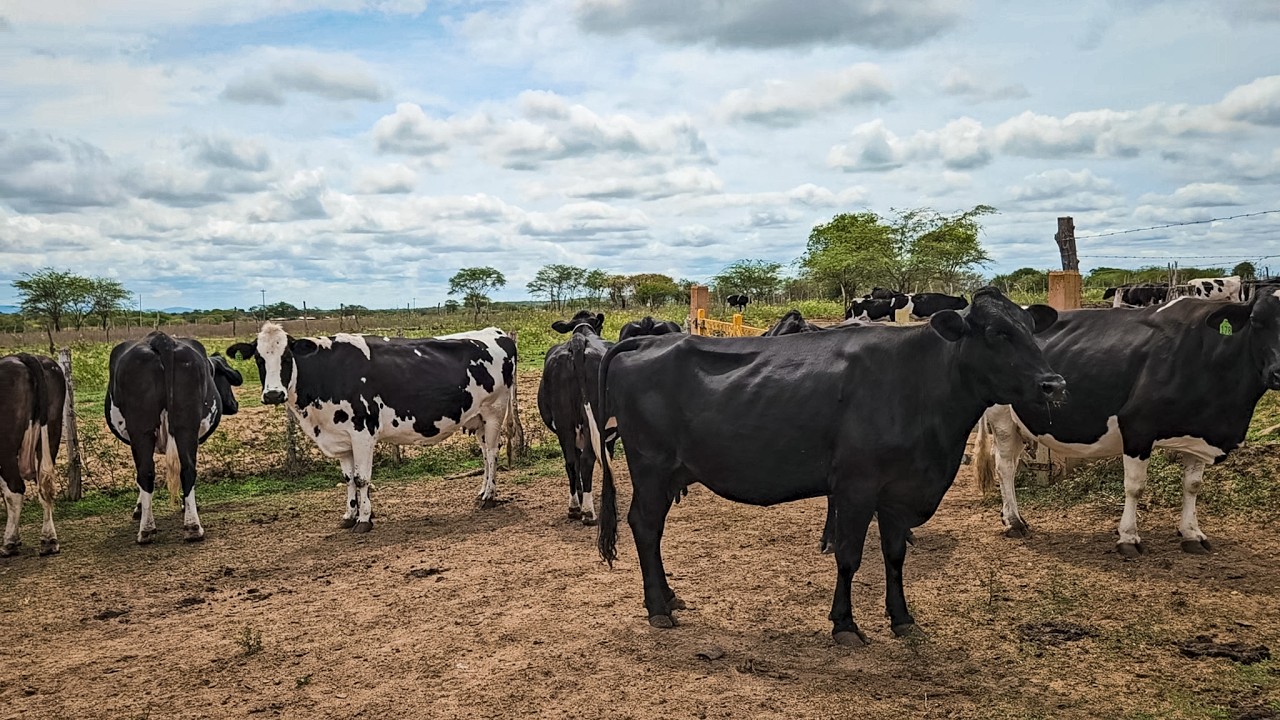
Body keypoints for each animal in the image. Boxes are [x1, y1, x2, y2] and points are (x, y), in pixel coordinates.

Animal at [1, 354, 65, 557]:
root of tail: (21, 357)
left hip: (7, 447)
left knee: (15, 491)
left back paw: (9, 542)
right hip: (51, 430)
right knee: (45, 486)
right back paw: (49, 540)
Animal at [106, 333, 243, 543]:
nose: (235, 404)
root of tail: (161, 339)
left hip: (148, 430)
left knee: (152, 472)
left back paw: (154, 528)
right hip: (182, 427)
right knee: (181, 470)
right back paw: (188, 527)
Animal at [227, 323, 516, 532]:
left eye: (287, 357)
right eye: (259, 359)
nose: (273, 394)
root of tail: (497, 332)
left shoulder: (363, 433)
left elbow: (362, 478)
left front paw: (364, 519)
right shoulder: (341, 438)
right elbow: (348, 478)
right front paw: (349, 514)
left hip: (494, 411)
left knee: (492, 453)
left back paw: (489, 497)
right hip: (477, 419)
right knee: (484, 454)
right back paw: (482, 491)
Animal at [587, 288, 1063, 642]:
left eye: (1029, 329)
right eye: (997, 333)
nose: (1054, 383)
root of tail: (646, 340)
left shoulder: (898, 491)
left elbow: (894, 556)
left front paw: (902, 619)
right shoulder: (856, 485)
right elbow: (849, 556)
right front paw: (845, 625)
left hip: (669, 473)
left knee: (652, 529)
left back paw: (669, 598)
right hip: (651, 467)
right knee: (644, 525)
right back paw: (658, 609)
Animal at [974, 293, 1280, 557]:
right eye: (1256, 320)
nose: (1278, 373)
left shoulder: (1199, 433)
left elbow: (1193, 485)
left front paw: (1192, 533)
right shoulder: (1137, 427)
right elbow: (1135, 486)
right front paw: (1128, 538)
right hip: (1001, 418)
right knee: (1005, 467)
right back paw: (1014, 522)